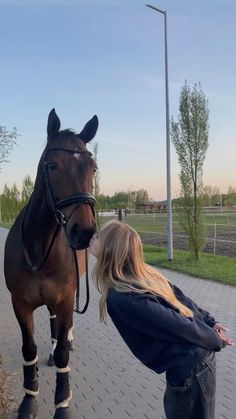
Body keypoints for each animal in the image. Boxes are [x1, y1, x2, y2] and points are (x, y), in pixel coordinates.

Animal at [4, 110, 98, 418]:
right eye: (52, 165)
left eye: (93, 168)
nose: (84, 232)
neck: (40, 246)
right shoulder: (20, 302)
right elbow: (29, 349)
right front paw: (29, 399)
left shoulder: (67, 298)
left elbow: (63, 356)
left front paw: (62, 404)